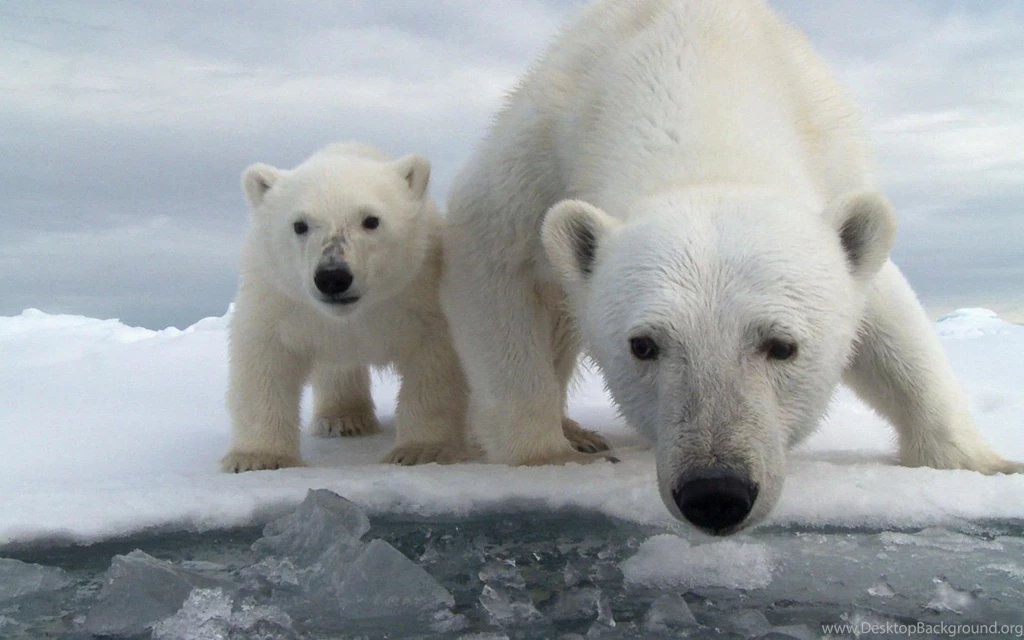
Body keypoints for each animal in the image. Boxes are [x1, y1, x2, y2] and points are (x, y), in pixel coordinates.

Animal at [221, 142, 469, 472]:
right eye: (300, 225)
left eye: (371, 220)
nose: (333, 276)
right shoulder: (280, 300)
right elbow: (265, 360)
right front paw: (257, 458)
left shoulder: (418, 294)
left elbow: (433, 361)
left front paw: (421, 451)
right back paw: (344, 419)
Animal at [439, 0, 1024, 534]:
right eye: (643, 345)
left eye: (782, 345)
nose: (715, 493)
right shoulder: (542, 149)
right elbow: (492, 261)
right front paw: (546, 456)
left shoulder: (833, 166)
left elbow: (892, 324)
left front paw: (988, 465)